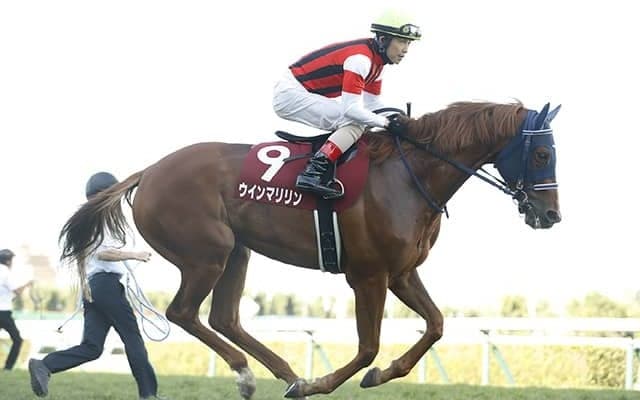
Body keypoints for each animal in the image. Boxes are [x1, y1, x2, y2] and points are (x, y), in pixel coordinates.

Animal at [59, 100, 561, 399]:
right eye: (542, 155)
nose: (550, 214)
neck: (407, 174)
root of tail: (149, 171)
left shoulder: (401, 273)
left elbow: (436, 325)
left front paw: (378, 374)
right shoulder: (368, 275)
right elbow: (368, 347)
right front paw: (327, 381)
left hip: (237, 251)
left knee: (224, 317)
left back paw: (281, 374)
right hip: (208, 252)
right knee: (184, 312)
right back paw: (253, 373)